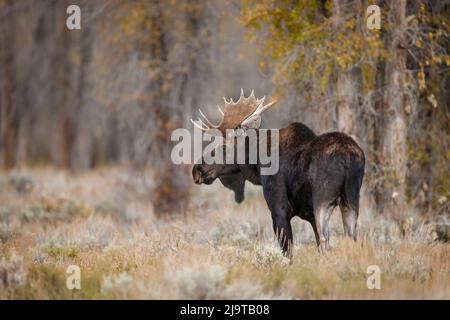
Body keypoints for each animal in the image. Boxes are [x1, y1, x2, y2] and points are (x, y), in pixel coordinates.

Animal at [191, 89, 366, 258]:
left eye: (224, 147)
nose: (196, 170)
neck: (258, 165)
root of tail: (347, 158)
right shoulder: (309, 216)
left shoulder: (279, 211)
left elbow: (288, 254)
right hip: (350, 201)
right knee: (351, 239)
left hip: (323, 201)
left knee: (326, 241)